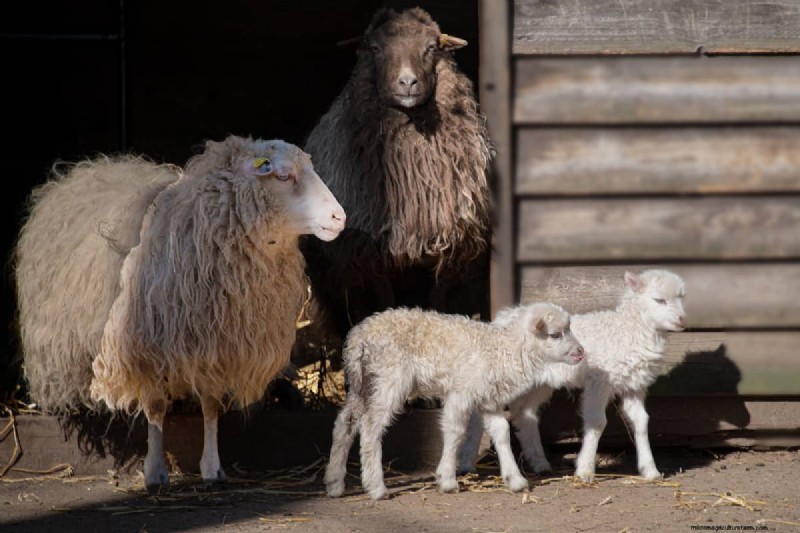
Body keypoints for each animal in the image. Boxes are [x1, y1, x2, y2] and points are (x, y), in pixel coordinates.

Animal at [15, 136, 346, 491]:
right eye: (283, 176)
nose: (339, 217)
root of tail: (83, 169)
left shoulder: (216, 347)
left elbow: (211, 406)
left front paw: (212, 467)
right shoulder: (146, 348)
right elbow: (155, 406)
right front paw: (155, 471)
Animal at [303, 7, 492, 336]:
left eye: (431, 47)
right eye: (376, 48)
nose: (407, 82)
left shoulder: (450, 242)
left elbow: (437, 300)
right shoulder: (370, 252)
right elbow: (383, 301)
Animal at [324, 304, 585, 500]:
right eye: (555, 334)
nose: (581, 352)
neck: (501, 350)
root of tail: (359, 336)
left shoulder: (488, 398)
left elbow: (502, 432)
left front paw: (516, 479)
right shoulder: (461, 393)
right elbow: (455, 432)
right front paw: (447, 479)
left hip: (363, 382)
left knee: (345, 423)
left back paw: (335, 483)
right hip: (389, 377)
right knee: (370, 427)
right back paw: (376, 487)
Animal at [458, 270, 687, 482]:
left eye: (681, 297)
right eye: (659, 299)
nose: (682, 320)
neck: (627, 330)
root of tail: (502, 317)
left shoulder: (634, 384)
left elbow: (641, 421)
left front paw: (650, 470)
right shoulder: (599, 380)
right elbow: (597, 422)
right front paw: (585, 469)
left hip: (538, 383)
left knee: (523, 413)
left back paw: (539, 463)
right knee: (481, 416)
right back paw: (467, 463)